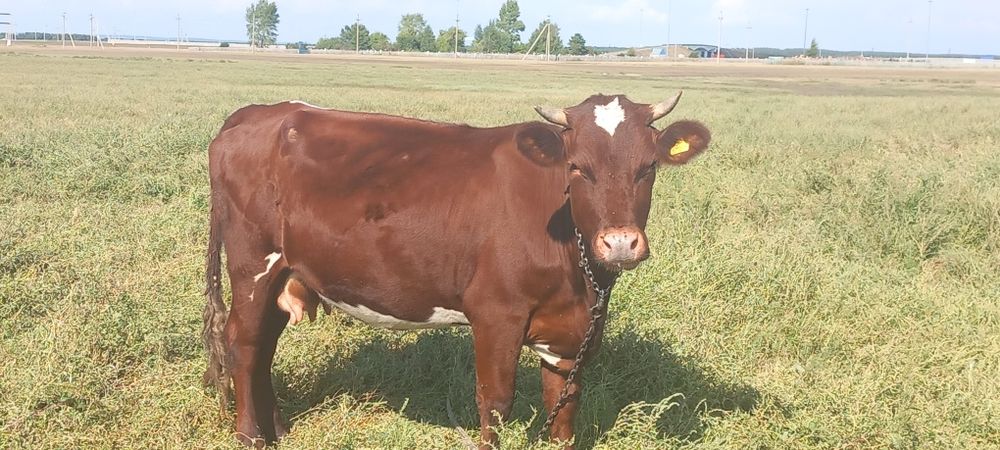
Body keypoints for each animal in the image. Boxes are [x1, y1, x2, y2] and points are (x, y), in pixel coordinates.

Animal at [202, 93, 711, 449]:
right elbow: (495, 402)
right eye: (577, 167)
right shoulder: (496, 313)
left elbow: (564, 408)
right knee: (244, 345)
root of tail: (259, 112)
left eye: (648, 167)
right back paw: (250, 436)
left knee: (264, 345)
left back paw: (278, 429)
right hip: (252, 264)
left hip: (285, 271)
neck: (579, 272)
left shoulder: (572, 330)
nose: (620, 243)